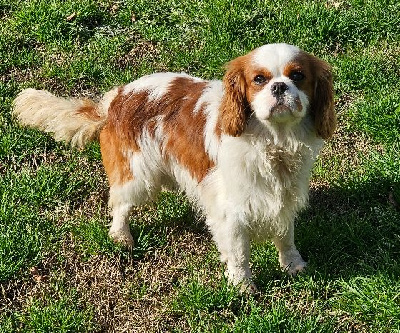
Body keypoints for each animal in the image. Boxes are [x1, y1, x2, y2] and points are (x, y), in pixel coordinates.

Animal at [13, 42, 334, 290]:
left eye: (298, 76)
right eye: (259, 79)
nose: (279, 86)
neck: (274, 141)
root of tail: (116, 98)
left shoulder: (283, 196)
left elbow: (285, 235)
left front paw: (293, 264)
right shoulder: (231, 210)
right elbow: (239, 252)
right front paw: (243, 286)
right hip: (138, 175)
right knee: (119, 203)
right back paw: (121, 236)